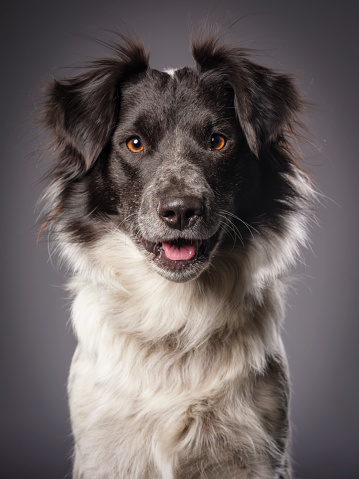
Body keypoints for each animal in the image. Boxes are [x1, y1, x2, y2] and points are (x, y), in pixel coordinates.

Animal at [38, 31, 316, 478]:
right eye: (134, 144)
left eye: (217, 141)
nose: (181, 210)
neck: (175, 317)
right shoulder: (104, 454)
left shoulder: (256, 452)